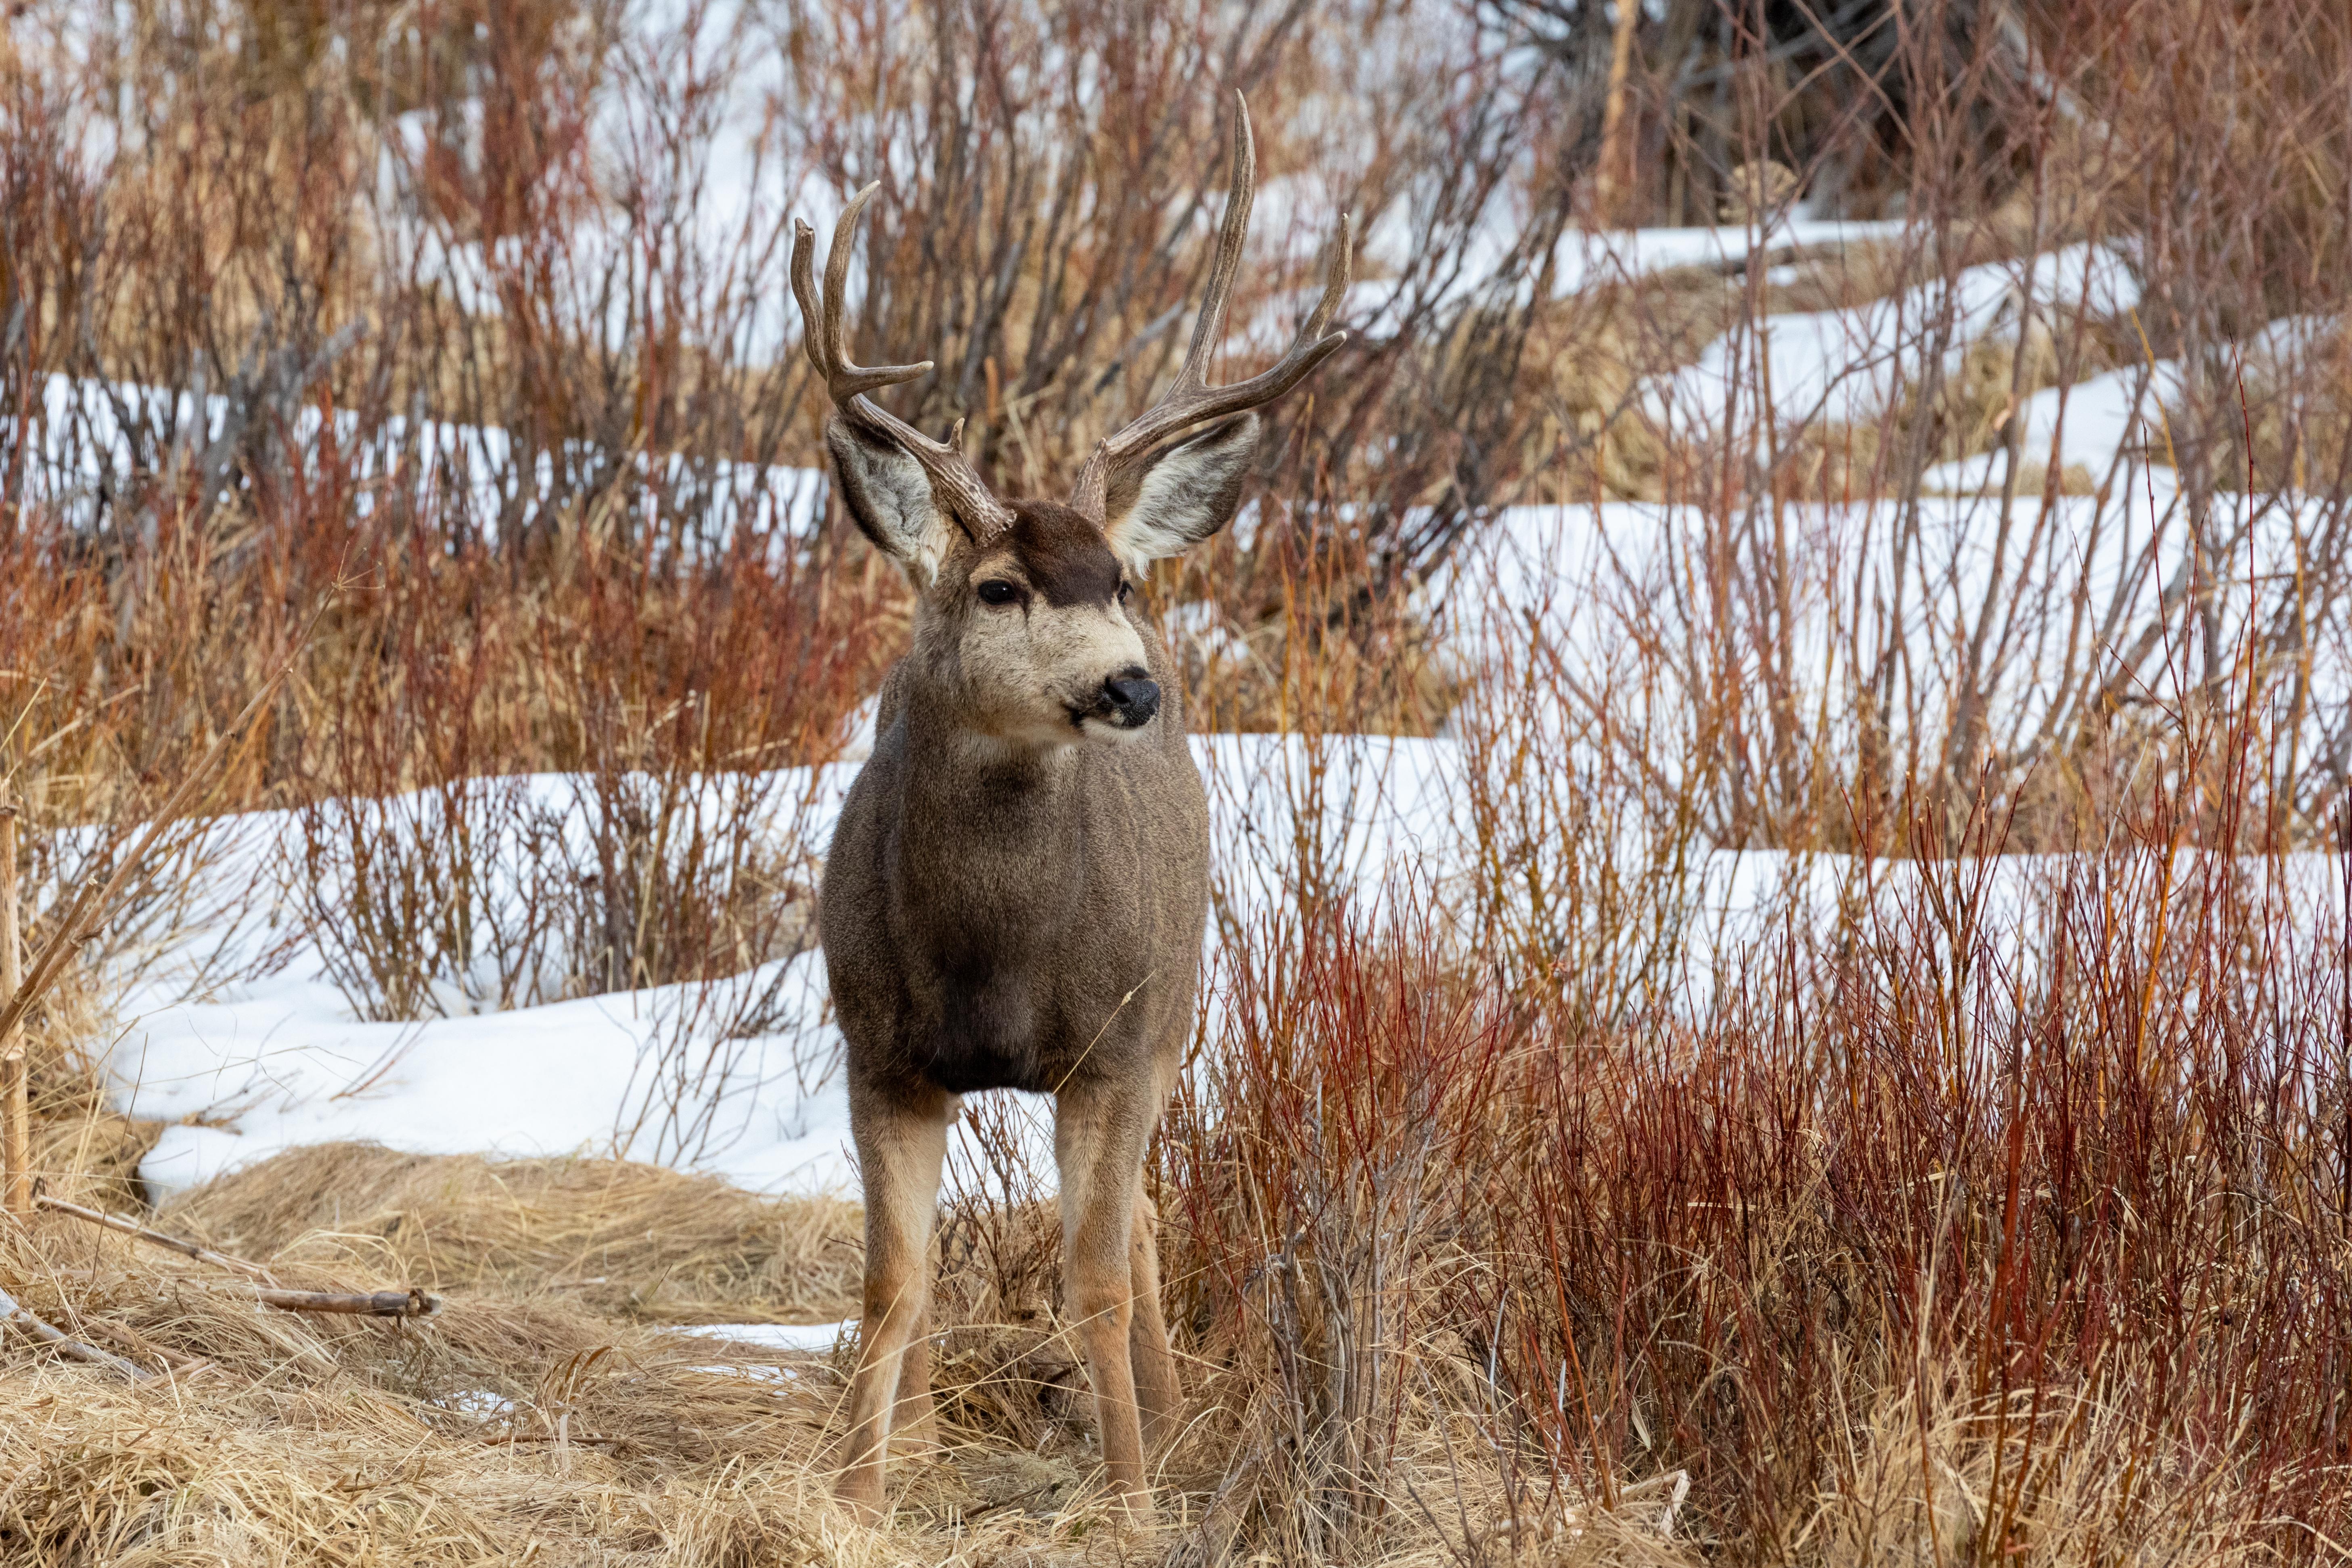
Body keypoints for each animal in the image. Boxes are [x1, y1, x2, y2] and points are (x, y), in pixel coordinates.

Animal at [795, 97, 1350, 1522]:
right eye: (998, 585)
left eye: (1121, 581)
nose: (1128, 682)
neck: (991, 953)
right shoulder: (878, 1050)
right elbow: (892, 1283)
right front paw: (862, 1492)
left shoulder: (1109, 1041)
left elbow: (1092, 1278)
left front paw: (1134, 1497)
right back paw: (930, 1436)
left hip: (1176, 1001)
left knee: (1143, 1217)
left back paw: (1168, 1416)